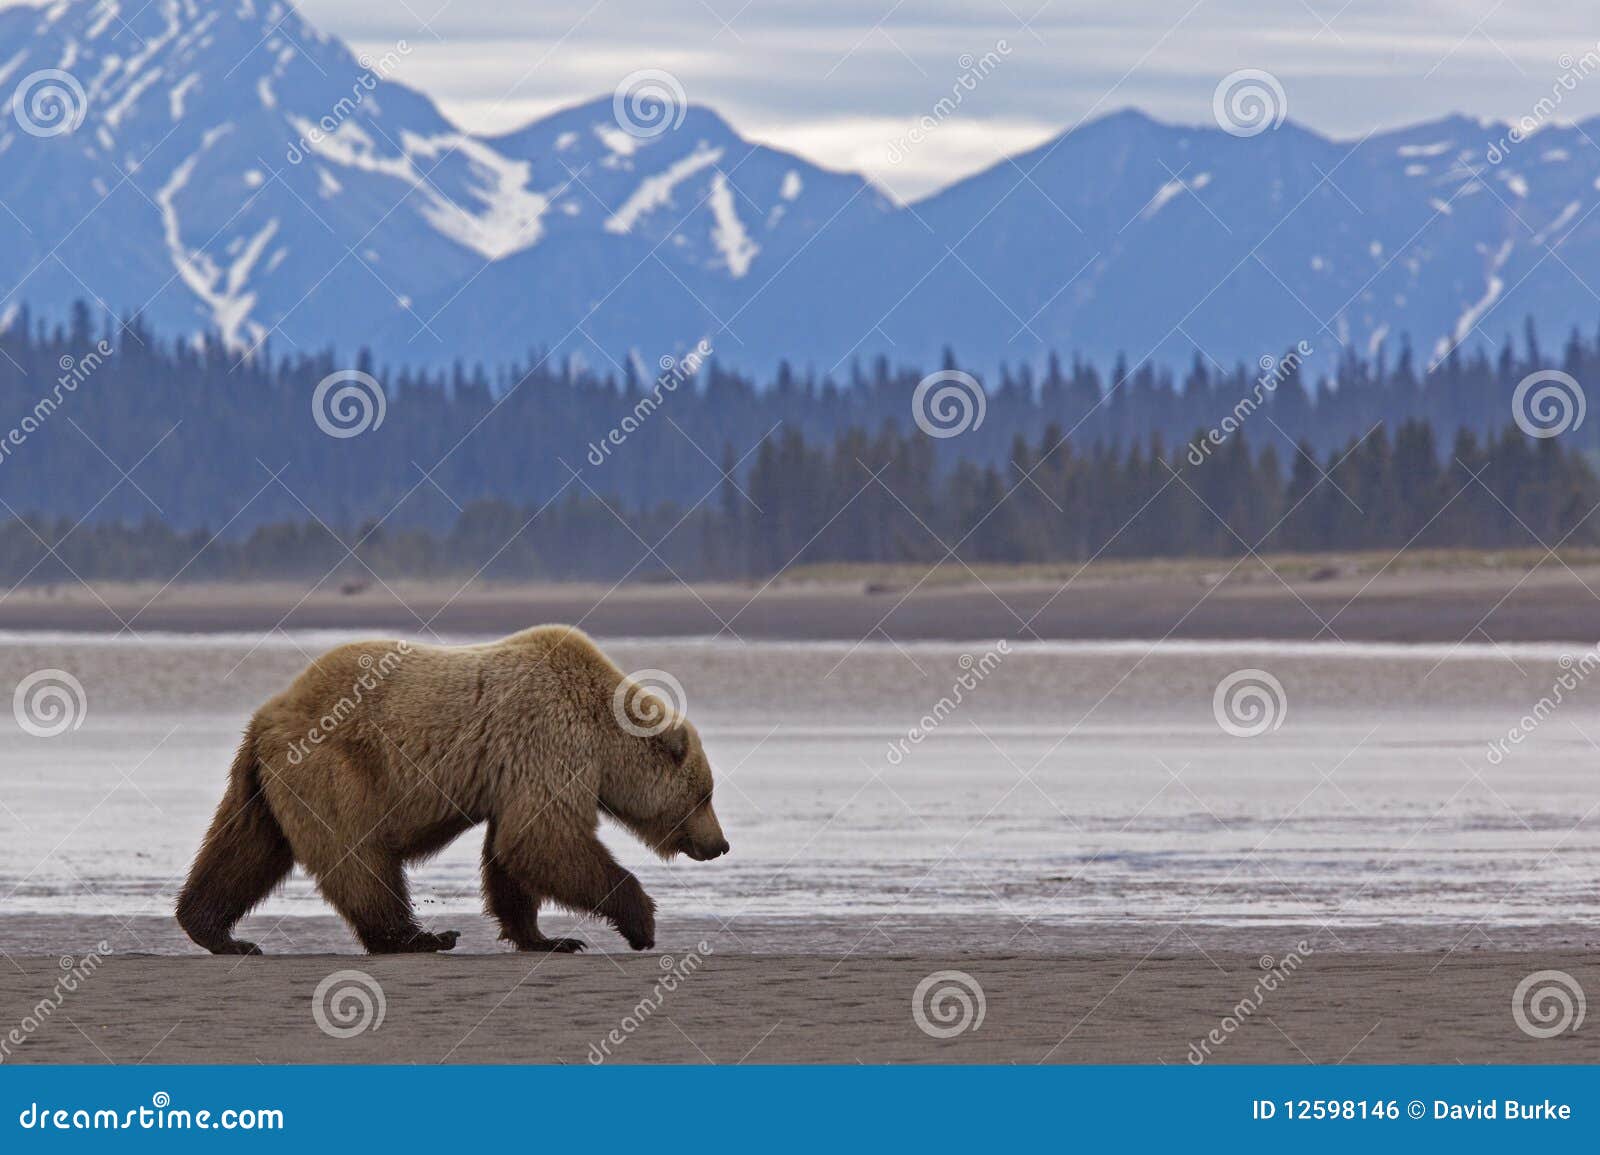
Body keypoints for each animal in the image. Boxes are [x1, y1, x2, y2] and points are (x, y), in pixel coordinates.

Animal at [173, 623, 726, 947]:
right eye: (706, 794)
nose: (720, 844)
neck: (603, 732)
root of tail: (267, 717)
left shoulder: (516, 773)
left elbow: (512, 853)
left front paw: (545, 937)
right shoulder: (549, 741)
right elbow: (544, 840)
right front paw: (641, 923)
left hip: (264, 782)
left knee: (244, 847)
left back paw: (214, 930)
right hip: (337, 768)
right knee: (358, 857)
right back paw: (418, 936)